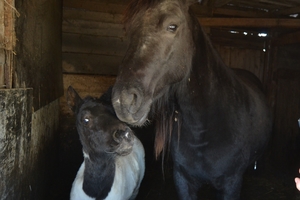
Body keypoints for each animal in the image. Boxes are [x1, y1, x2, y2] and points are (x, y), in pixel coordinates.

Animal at [111, 0, 274, 198]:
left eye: (172, 26)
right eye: (129, 30)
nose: (123, 100)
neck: (204, 130)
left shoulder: (231, 183)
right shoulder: (183, 180)